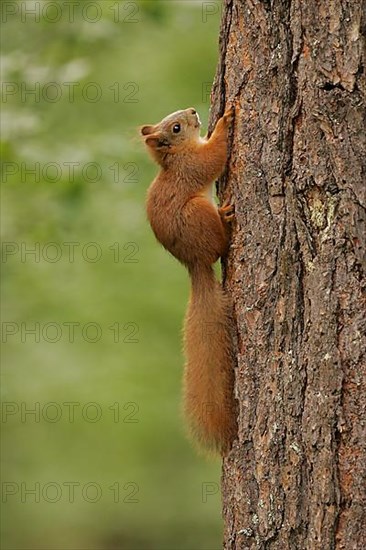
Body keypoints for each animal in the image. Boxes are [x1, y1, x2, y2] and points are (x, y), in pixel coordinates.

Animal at [140, 108, 237, 458]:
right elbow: (213, 157)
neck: (177, 155)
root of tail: (194, 264)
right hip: (198, 213)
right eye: (176, 127)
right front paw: (225, 120)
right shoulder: (193, 165)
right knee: (220, 246)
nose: (194, 111)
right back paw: (226, 219)